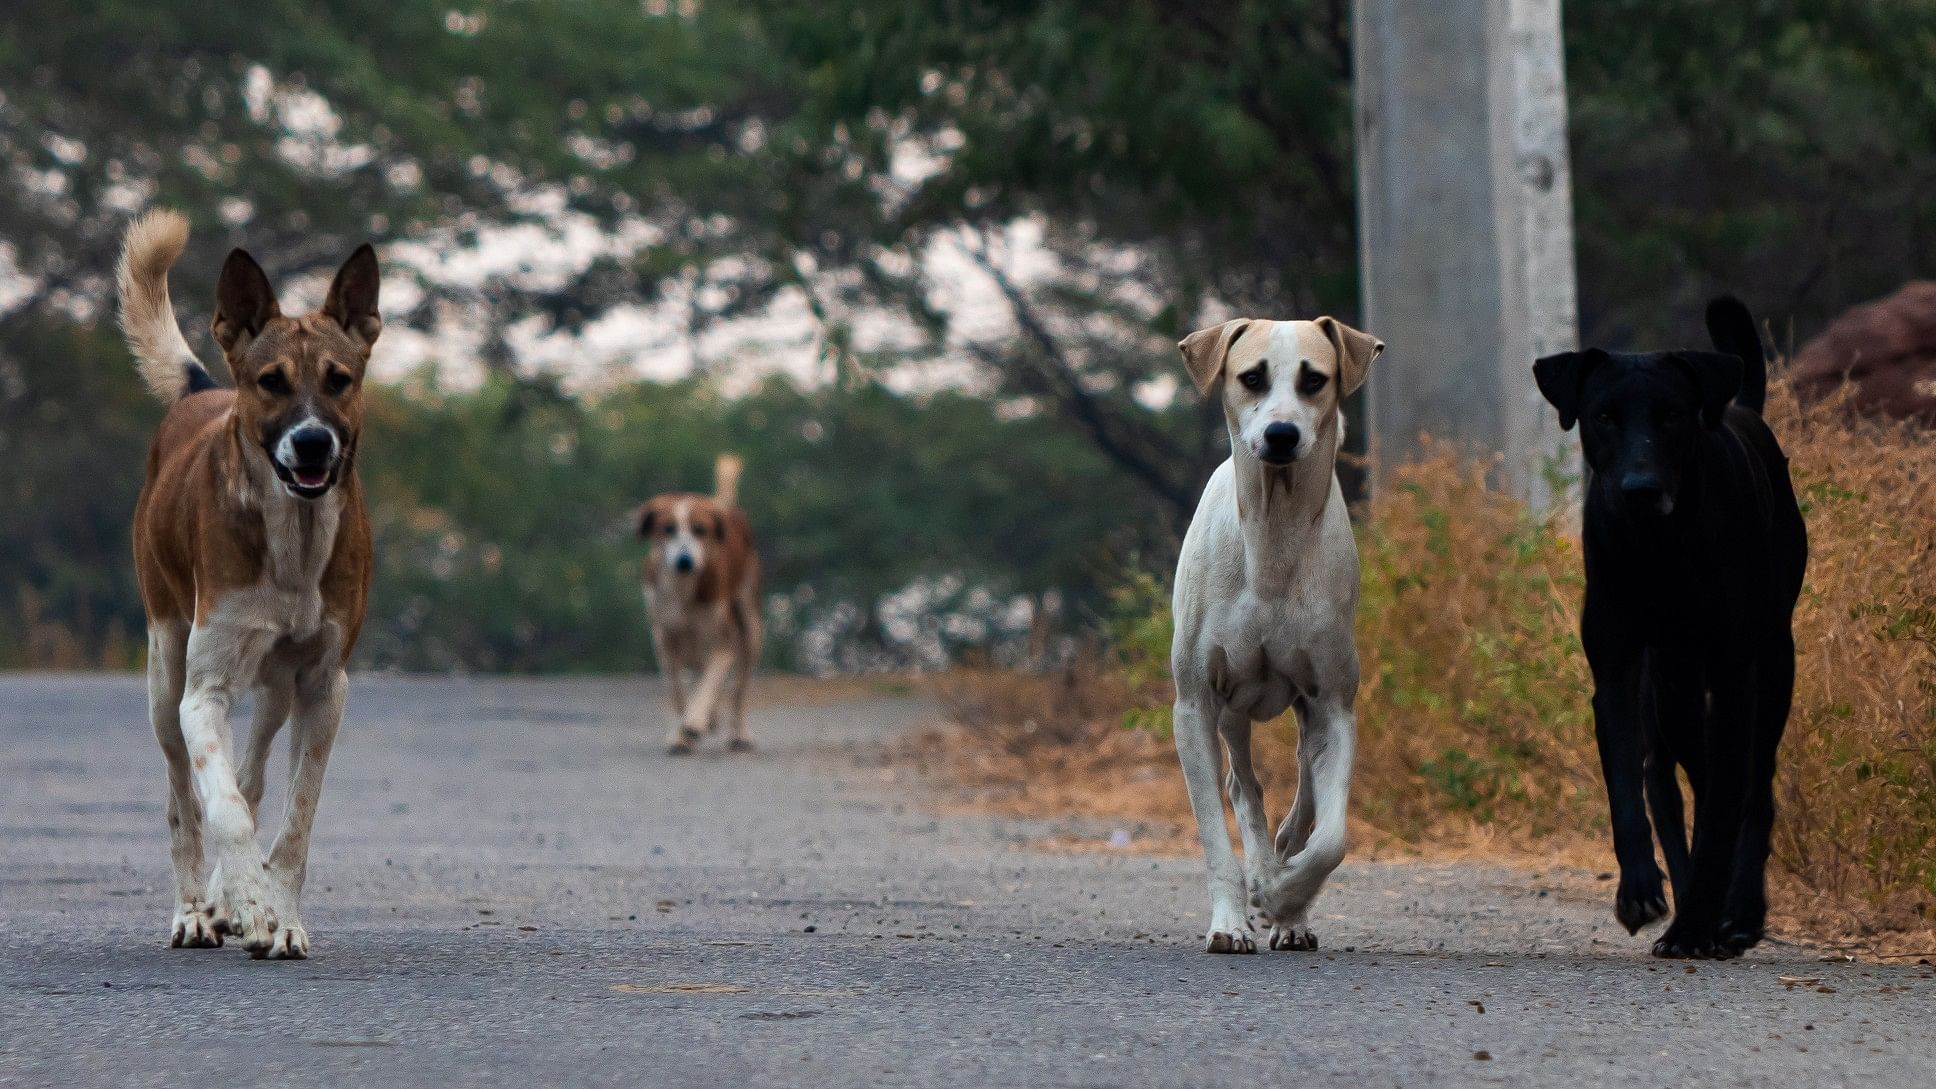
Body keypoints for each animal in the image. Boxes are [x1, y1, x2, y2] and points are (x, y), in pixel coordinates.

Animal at [631, 453, 758, 751]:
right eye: (668, 529)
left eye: (700, 530)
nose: (684, 560)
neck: (682, 591)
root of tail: (724, 508)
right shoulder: (664, 638)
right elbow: (676, 690)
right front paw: (679, 736)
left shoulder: (723, 639)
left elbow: (710, 681)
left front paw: (695, 721)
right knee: (698, 668)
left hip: (749, 621)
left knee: (738, 687)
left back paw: (738, 733)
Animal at [1169, 311, 1386, 949]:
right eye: (1252, 377)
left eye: (1314, 379)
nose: (1282, 434)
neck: (1274, 536)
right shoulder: (1194, 702)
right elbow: (1215, 830)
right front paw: (1231, 919)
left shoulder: (1334, 700)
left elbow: (1333, 838)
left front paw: (1286, 899)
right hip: (1231, 708)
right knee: (1243, 785)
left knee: (1303, 796)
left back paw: (1286, 896)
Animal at [1533, 296, 1804, 957]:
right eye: (1603, 416)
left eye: (1674, 416)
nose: (1640, 489)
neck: (1661, 548)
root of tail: (1743, 405)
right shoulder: (1616, 668)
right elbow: (1626, 789)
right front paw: (1640, 892)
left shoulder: (1734, 675)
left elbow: (1728, 804)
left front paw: (1703, 920)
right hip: (1674, 689)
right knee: (1693, 779)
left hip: (1771, 663)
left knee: (1753, 786)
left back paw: (1736, 914)